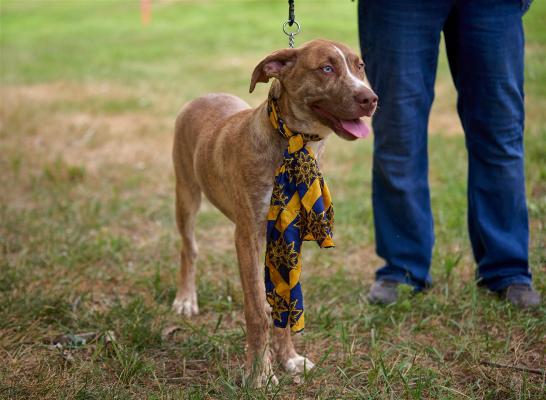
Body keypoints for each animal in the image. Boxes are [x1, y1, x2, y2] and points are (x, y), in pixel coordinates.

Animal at [170, 39, 374, 386]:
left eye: (360, 67)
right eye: (327, 68)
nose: (371, 99)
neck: (292, 144)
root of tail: (204, 96)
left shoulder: (288, 237)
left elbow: (284, 303)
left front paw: (288, 358)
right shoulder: (247, 235)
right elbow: (256, 311)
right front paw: (259, 374)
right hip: (185, 194)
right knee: (189, 248)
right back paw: (186, 299)